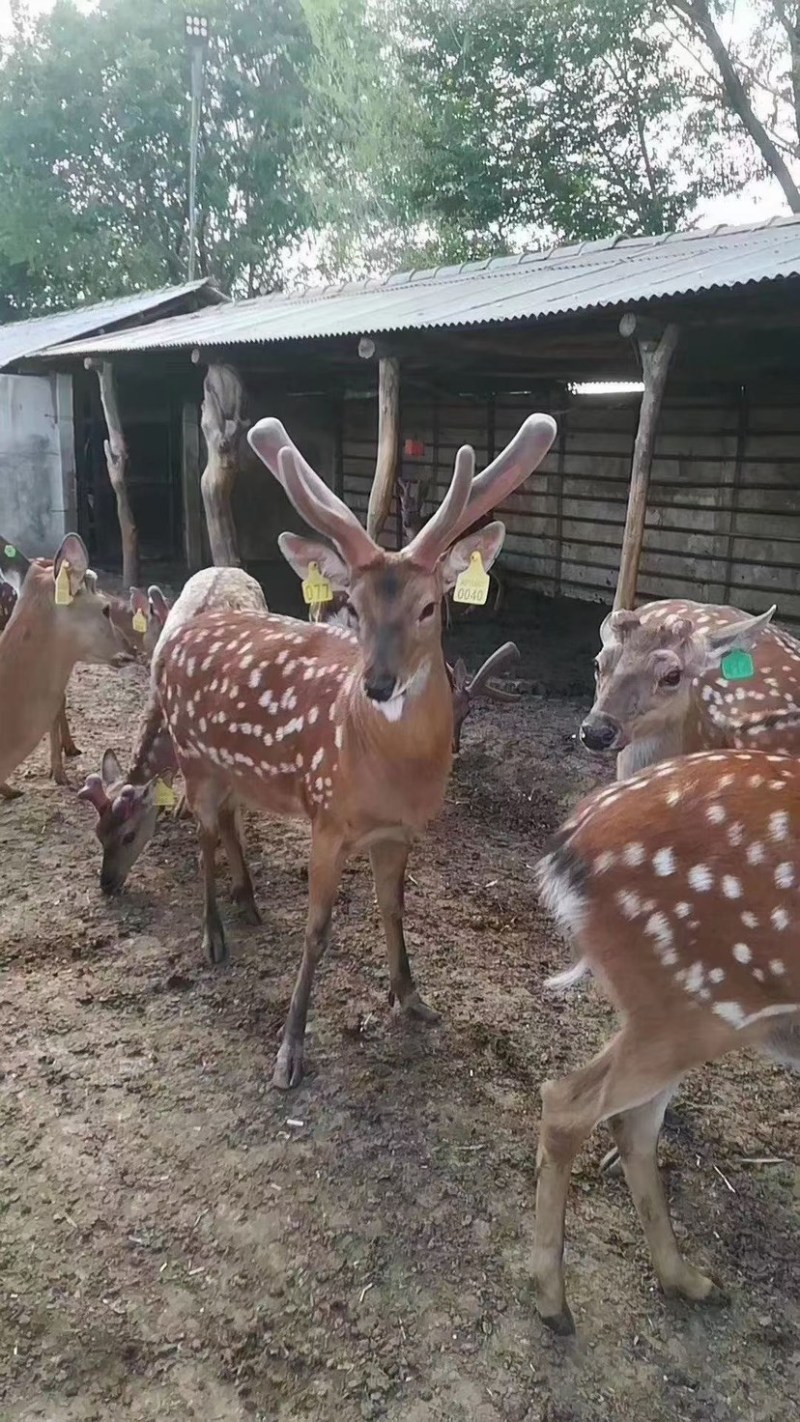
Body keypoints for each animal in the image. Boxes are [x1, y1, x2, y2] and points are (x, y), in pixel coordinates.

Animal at [152, 412, 556, 1089]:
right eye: (354, 608)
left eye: (429, 607)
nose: (378, 684)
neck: (389, 776)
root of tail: (182, 633)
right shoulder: (327, 817)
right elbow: (317, 930)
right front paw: (289, 1051)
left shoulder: (401, 830)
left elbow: (393, 908)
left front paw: (412, 998)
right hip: (191, 753)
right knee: (202, 831)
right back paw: (212, 936)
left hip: (236, 770)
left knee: (230, 819)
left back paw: (248, 901)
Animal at [533, 746, 800, 1336]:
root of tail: (569, 844)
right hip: (702, 1007)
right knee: (569, 1104)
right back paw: (553, 1303)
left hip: (670, 1011)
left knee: (626, 1123)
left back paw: (687, 1280)